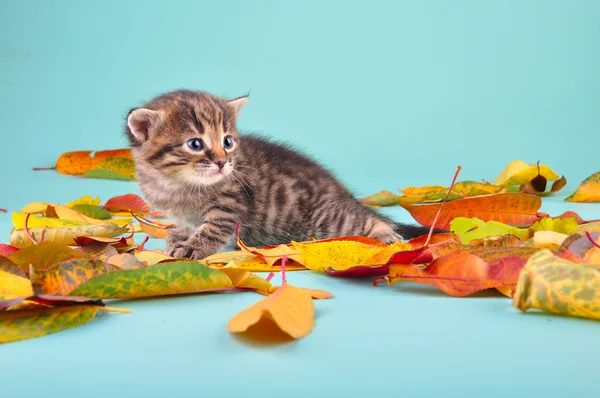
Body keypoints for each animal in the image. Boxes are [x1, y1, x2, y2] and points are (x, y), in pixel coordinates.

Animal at [125, 88, 432, 260]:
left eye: (228, 141)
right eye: (195, 144)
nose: (223, 163)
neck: (177, 184)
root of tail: (342, 193)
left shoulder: (231, 201)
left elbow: (213, 227)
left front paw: (193, 247)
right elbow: (186, 225)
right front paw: (179, 236)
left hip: (325, 220)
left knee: (365, 219)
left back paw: (386, 234)